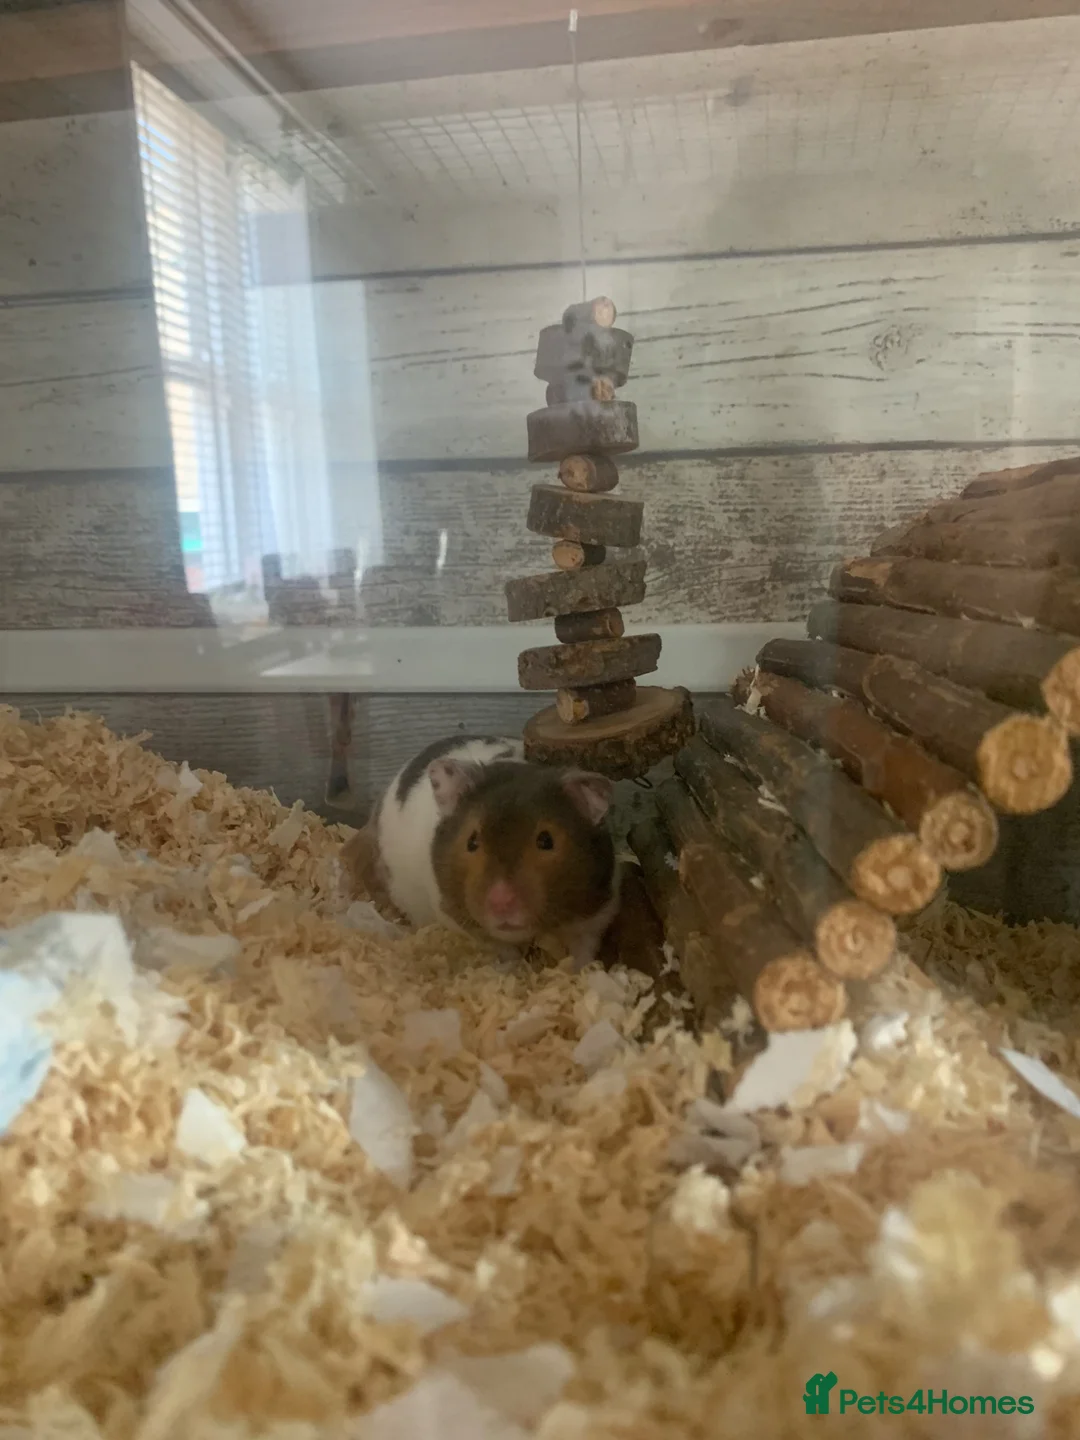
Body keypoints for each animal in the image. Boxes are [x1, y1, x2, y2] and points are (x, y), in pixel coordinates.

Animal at [373, 734, 620, 969]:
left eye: (546, 841)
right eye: (471, 842)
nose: (501, 903)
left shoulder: (597, 913)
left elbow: (584, 950)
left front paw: (581, 971)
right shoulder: (458, 917)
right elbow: (502, 948)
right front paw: (515, 968)